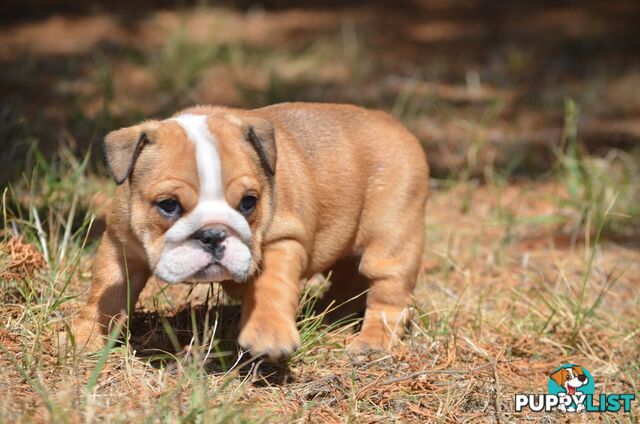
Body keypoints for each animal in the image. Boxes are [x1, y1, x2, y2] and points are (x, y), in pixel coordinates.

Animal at [72, 102, 428, 358]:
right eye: (168, 205)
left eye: (248, 202)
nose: (213, 234)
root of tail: (394, 123)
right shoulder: (120, 244)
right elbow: (108, 291)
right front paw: (87, 336)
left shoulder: (283, 240)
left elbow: (271, 287)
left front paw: (269, 334)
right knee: (347, 279)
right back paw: (328, 316)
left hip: (391, 237)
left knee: (388, 292)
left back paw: (373, 342)